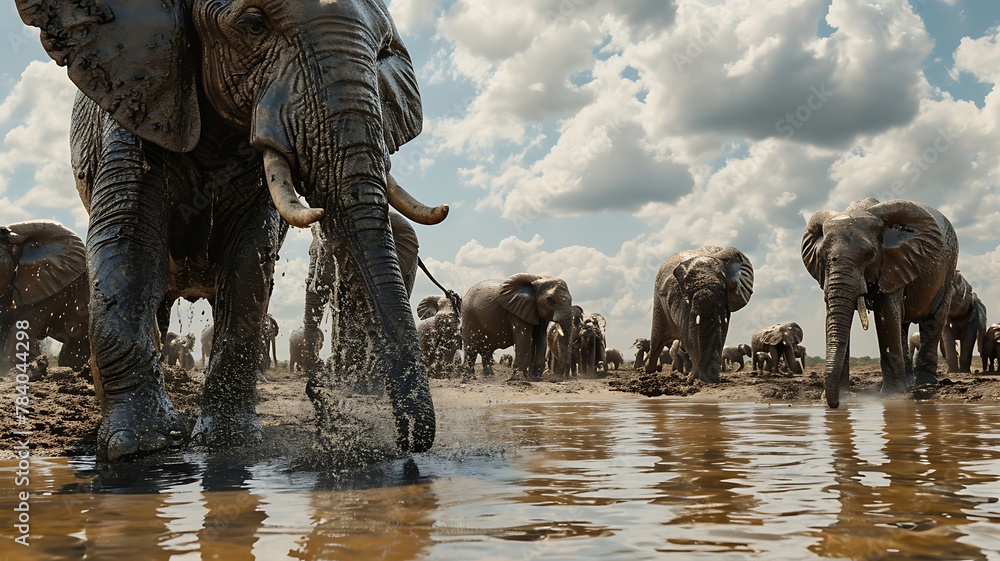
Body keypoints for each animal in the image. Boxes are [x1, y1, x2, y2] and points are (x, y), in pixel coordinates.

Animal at [17, 0, 445, 459]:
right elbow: (128, 253)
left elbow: (248, 265)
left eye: (383, 52)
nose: (405, 444)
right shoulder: (134, 106)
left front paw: (228, 441)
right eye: (253, 24)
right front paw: (143, 446)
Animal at [645, 246, 755, 383]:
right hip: (659, 305)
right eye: (689, 288)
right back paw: (648, 373)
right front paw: (695, 378)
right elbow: (688, 333)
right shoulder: (679, 300)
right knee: (657, 341)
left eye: (723, 284)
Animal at [802, 198, 958, 408]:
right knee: (902, 325)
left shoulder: (894, 265)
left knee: (934, 321)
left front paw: (893, 396)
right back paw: (910, 383)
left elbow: (887, 313)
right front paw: (844, 398)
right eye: (820, 256)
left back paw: (924, 383)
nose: (833, 405)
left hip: (948, 272)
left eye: (870, 254)